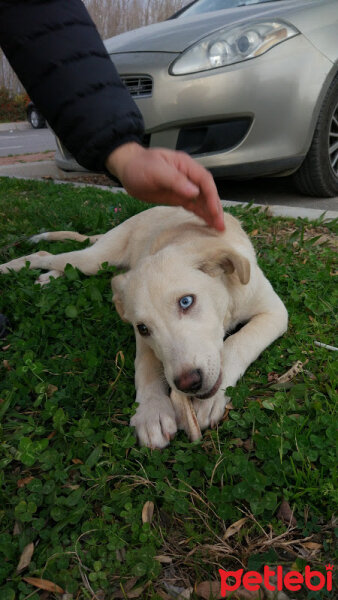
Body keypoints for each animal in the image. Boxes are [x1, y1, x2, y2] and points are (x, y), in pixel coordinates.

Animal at [0, 206, 288, 446]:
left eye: (186, 301)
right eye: (143, 329)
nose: (188, 384)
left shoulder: (275, 312)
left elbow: (239, 342)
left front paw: (215, 396)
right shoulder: (144, 342)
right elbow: (146, 366)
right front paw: (151, 412)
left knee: (62, 262)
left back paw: (46, 278)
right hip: (97, 259)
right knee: (48, 255)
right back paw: (11, 266)